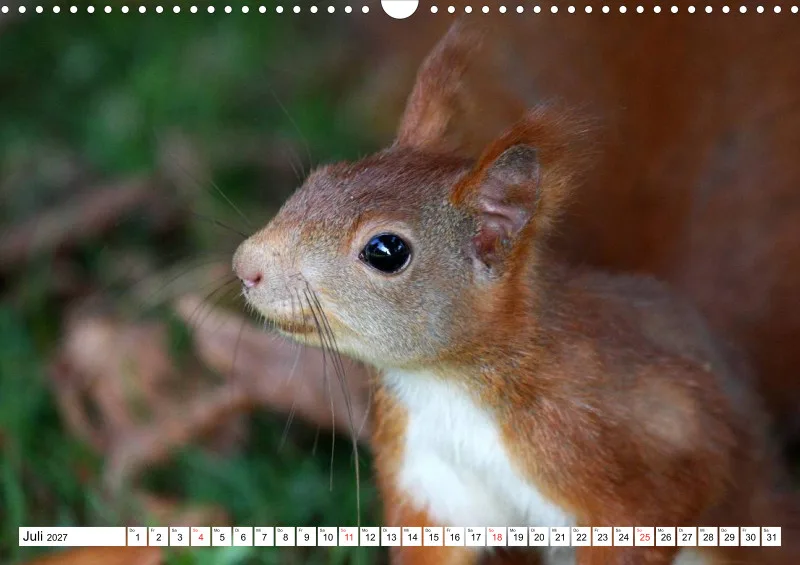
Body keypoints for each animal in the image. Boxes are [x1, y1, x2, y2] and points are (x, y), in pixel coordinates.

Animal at [232, 22, 800, 565]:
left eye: (386, 251)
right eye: (317, 179)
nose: (244, 266)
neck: (451, 385)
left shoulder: (634, 444)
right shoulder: (430, 475)